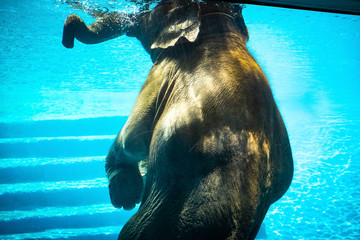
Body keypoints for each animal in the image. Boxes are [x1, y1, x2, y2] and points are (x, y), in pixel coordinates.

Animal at [62, 0, 292, 239]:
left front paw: (126, 197)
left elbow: (132, 138)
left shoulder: (161, 74)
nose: (67, 43)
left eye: (147, 15)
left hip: (157, 220)